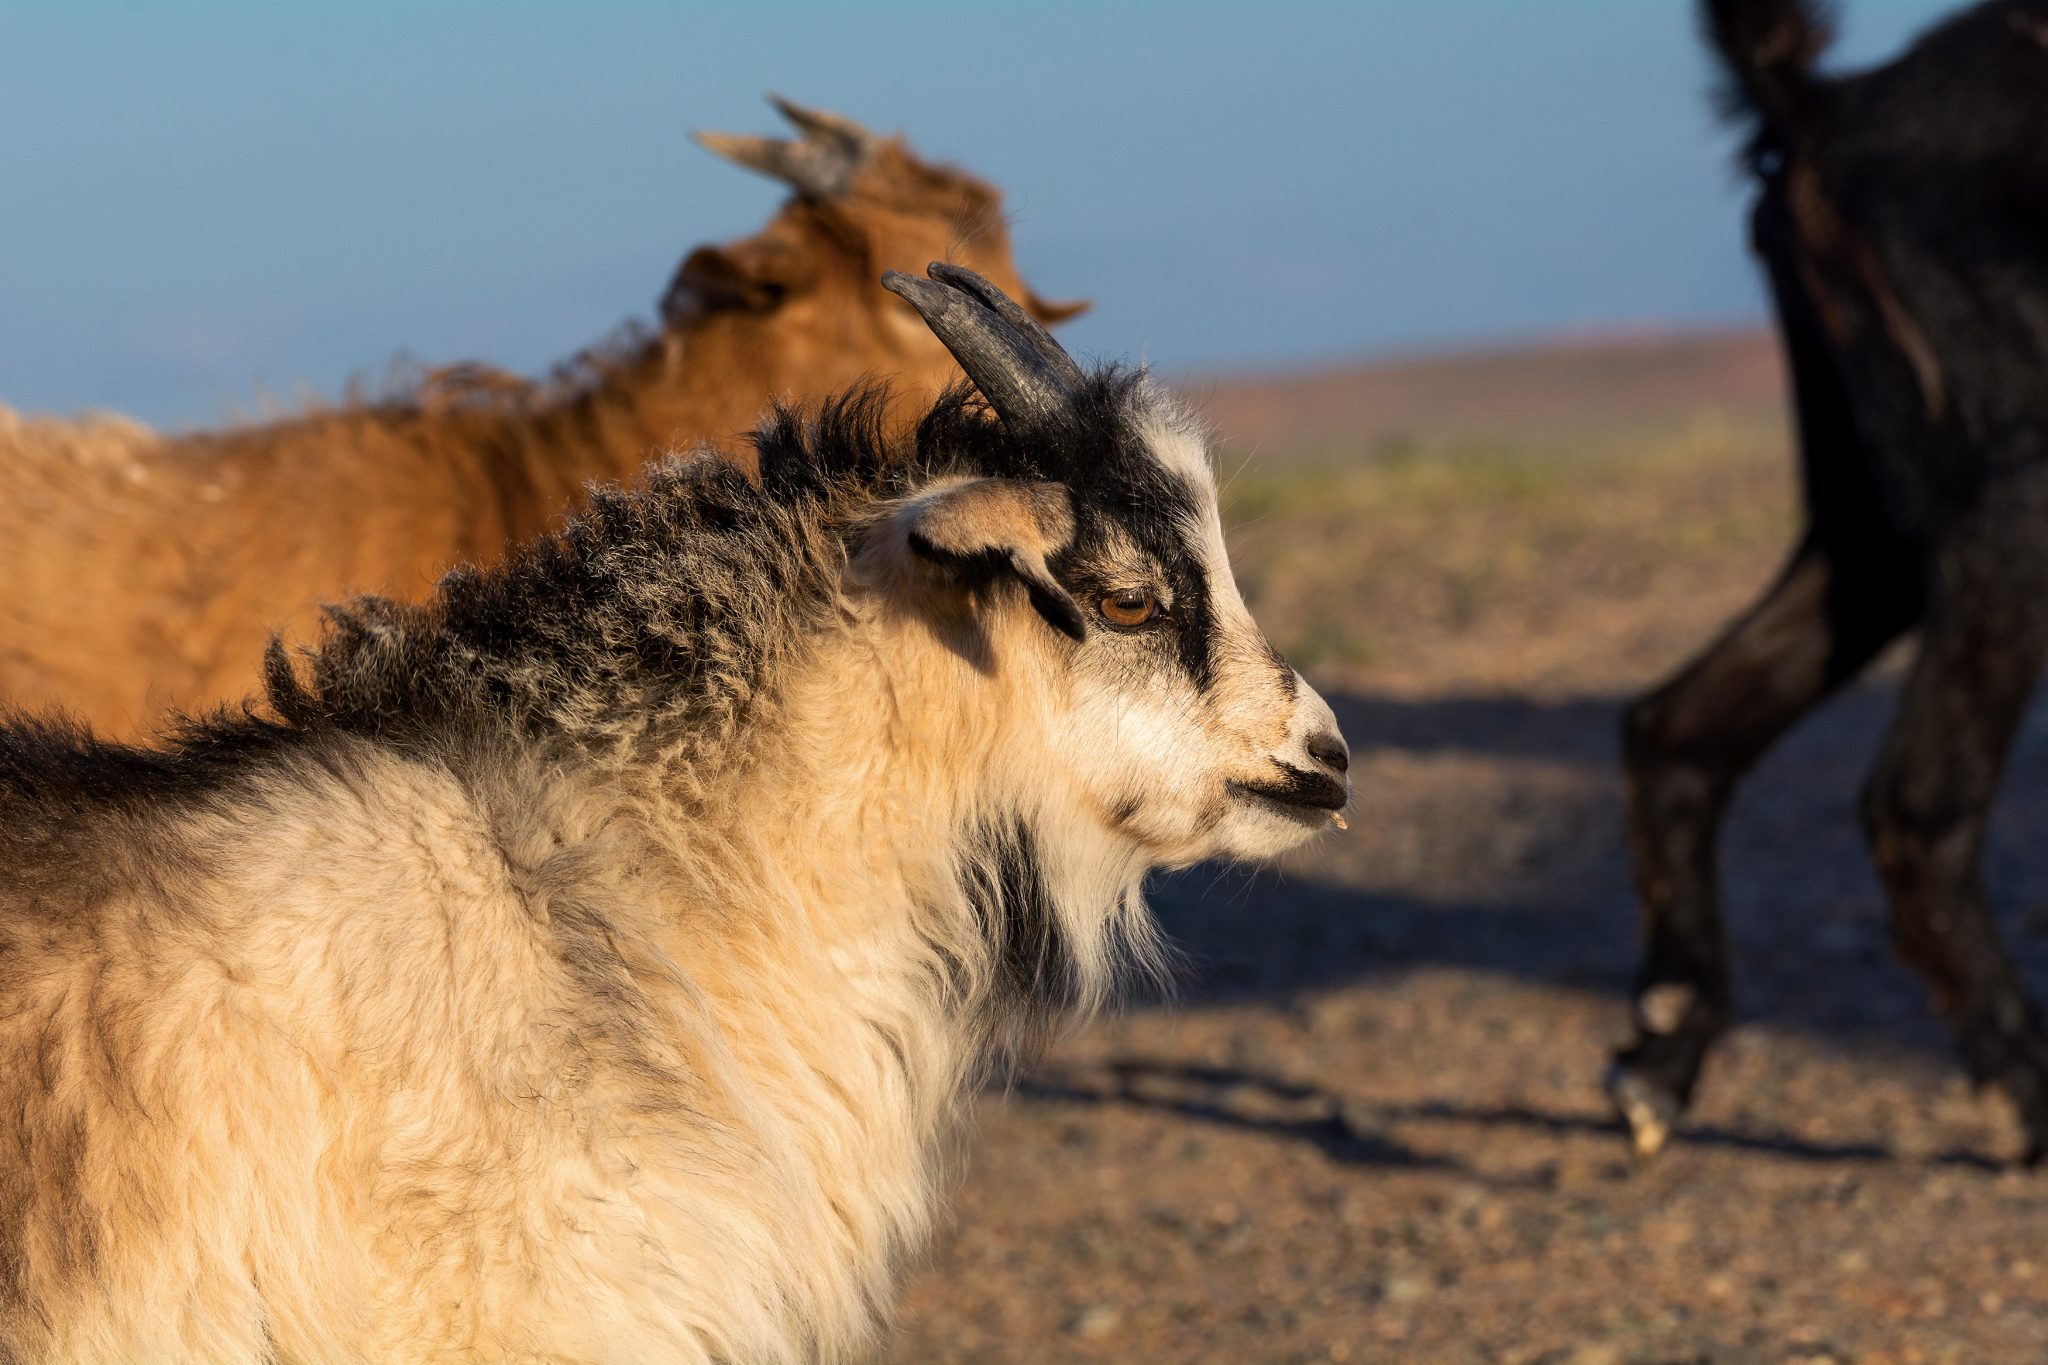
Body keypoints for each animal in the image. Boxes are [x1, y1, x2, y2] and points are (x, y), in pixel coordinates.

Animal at [1605, 2, 2048, 1162]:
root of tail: (1823, 110)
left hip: (1874, 534)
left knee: (1680, 728)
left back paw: (1667, 1044)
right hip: (2009, 498)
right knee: (1917, 806)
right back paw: (2024, 1089)